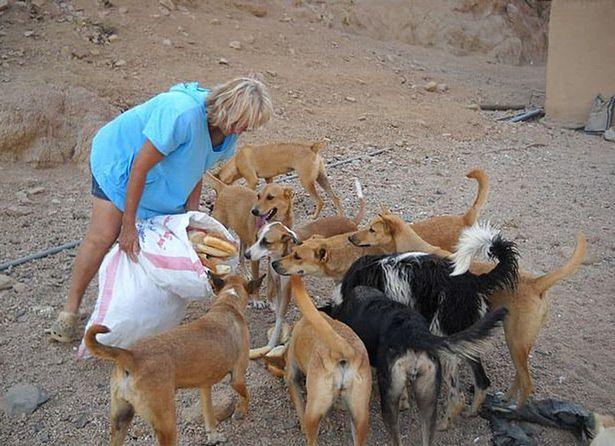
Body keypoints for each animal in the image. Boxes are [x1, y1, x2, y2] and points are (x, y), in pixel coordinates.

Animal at [85, 274, 264, 444]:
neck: (228, 304)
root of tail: (130, 355)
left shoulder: (205, 386)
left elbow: (209, 415)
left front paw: (213, 437)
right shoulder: (238, 378)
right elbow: (246, 395)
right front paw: (241, 412)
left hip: (120, 420)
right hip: (167, 424)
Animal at [328, 223, 520, 432]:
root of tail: (473, 280)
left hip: (447, 343)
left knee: (457, 396)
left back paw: (444, 423)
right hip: (467, 336)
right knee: (482, 381)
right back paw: (472, 411)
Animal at [346, 209, 588, 404]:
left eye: (372, 229)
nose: (350, 237)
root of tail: (538, 283)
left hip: (515, 340)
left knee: (527, 382)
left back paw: (513, 409)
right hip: (517, 343)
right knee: (520, 377)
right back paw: (503, 398)